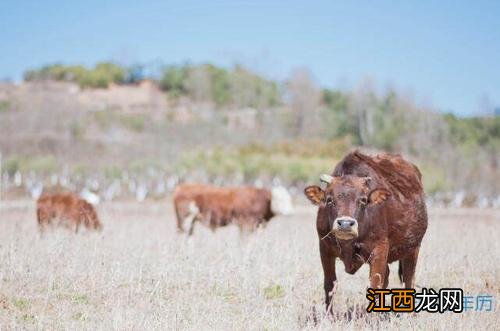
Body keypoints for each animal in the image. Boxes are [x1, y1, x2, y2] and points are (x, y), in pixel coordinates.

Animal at [302, 152, 428, 316]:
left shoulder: (380, 249)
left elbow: (375, 285)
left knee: (408, 278)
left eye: (362, 200)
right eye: (330, 200)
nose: (345, 224)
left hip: (413, 249)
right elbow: (330, 284)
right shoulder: (324, 248)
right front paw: (329, 316)